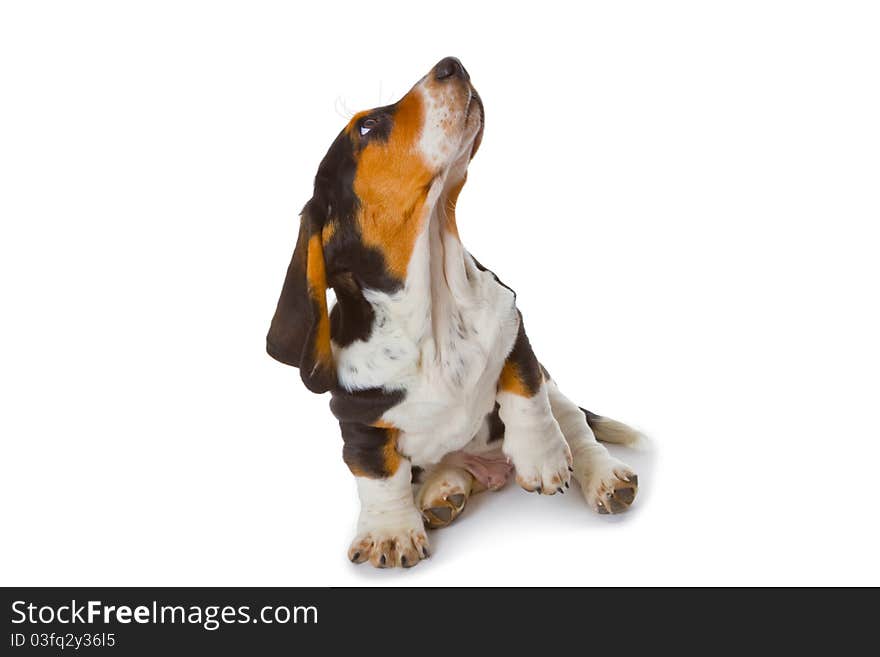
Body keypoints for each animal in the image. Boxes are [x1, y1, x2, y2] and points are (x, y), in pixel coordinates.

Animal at [266, 57, 640, 568]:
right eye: (366, 126)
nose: (452, 64)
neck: (435, 308)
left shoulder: (514, 328)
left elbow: (525, 394)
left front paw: (542, 459)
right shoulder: (358, 423)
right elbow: (379, 477)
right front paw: (390, 533)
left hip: (560, 394)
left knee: (577, 429)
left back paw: (604, 477)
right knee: (440, 468)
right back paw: (442, 494)